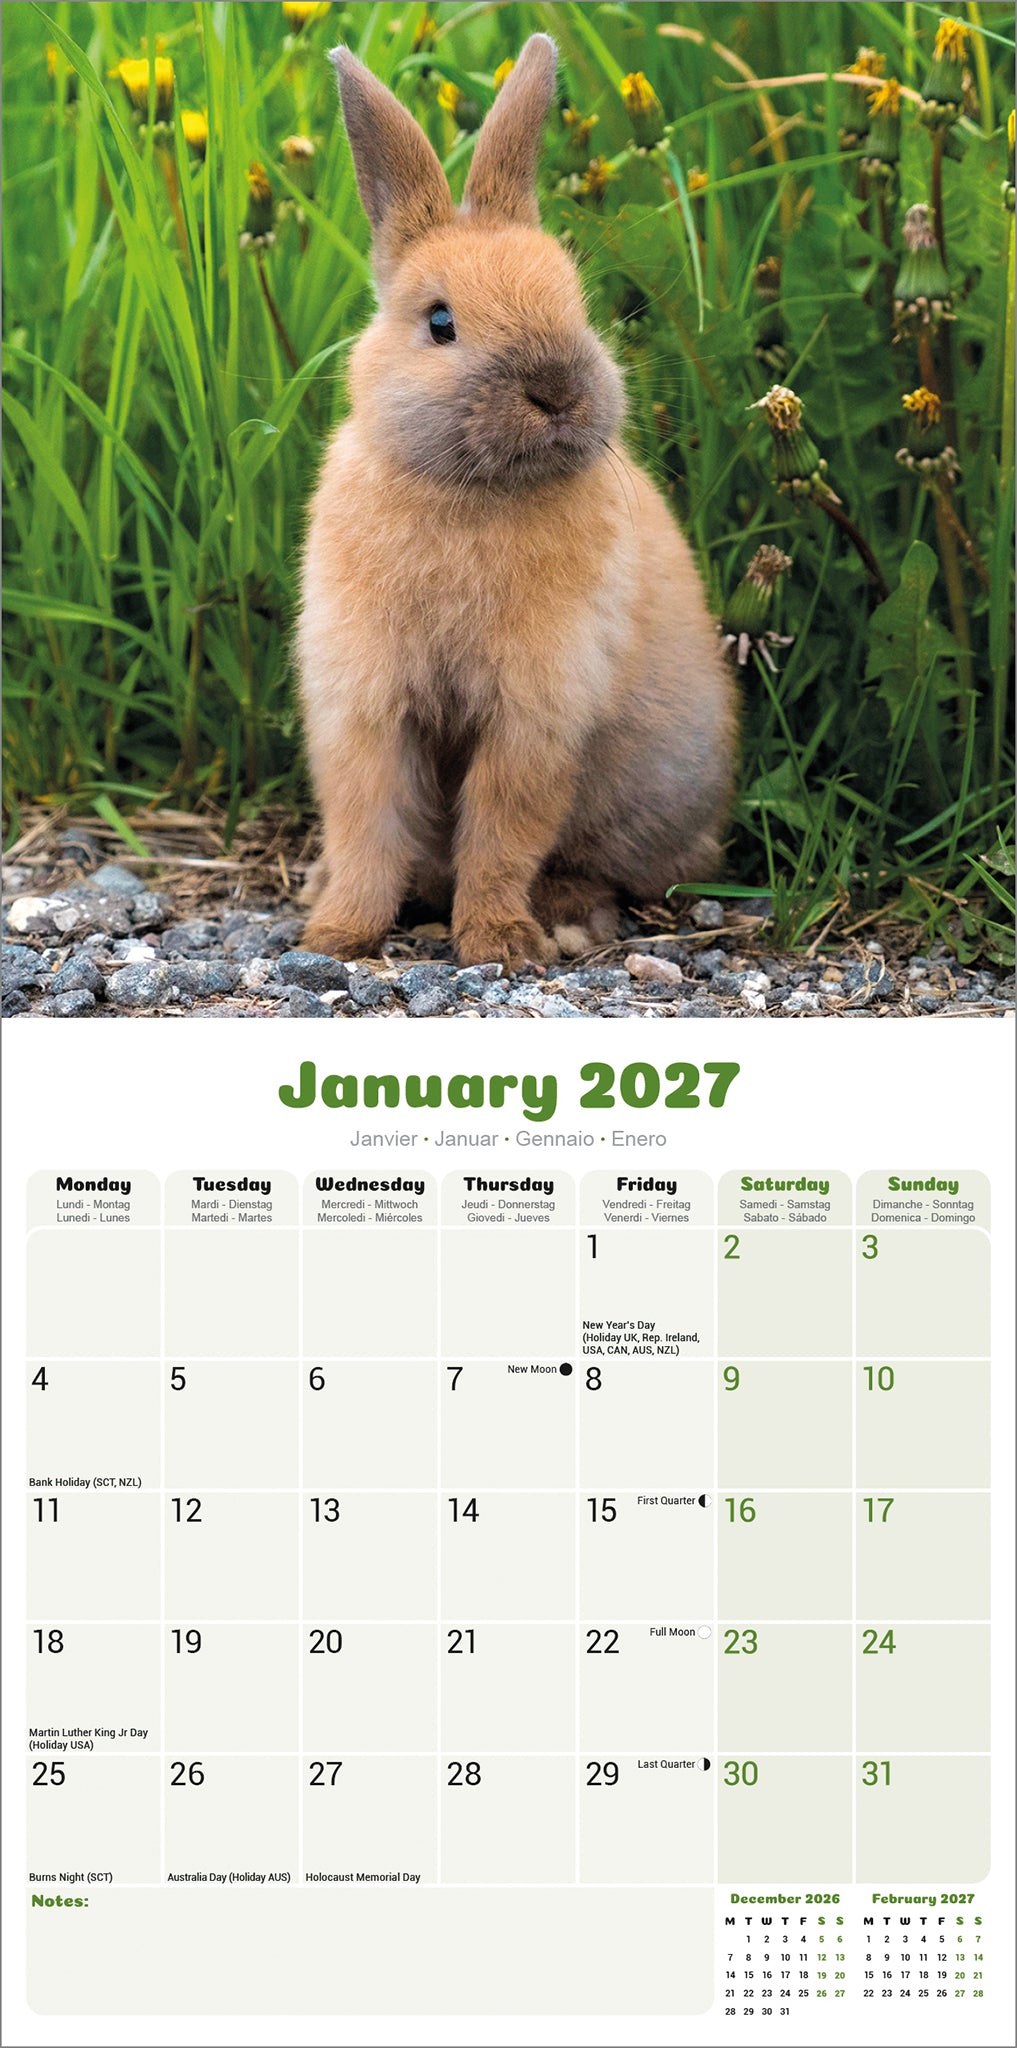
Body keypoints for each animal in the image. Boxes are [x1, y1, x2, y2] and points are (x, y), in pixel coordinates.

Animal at [297, 33, 736, 970]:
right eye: (439, 322)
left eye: (576, 302)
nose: (558, 389)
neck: (471, 490)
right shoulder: (364, 705)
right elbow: (366, 826)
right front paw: (338, 934)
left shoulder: (535, 714)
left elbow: (502, 832)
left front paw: (499, 944)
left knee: (607, 866)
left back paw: (569, 917)